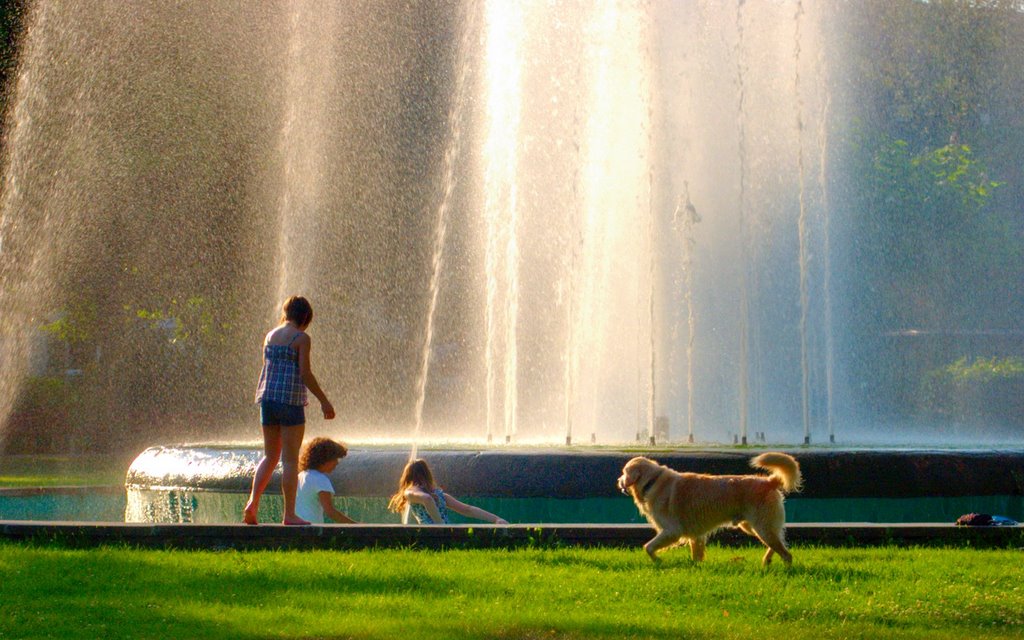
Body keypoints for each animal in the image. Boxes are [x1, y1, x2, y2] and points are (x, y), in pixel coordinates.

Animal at [618, 452, 802, 565]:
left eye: (624, 472)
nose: (618, 481)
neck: (653, 481)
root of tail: (770, 481)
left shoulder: (672, 531)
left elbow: (648, 547)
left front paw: (658, 561)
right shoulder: (696, 535)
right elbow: (696, 555)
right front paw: (695, 567)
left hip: (761, 526)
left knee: (786, 553)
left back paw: (785, 569)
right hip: (754, 527)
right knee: (780, 541)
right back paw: (767, 561)